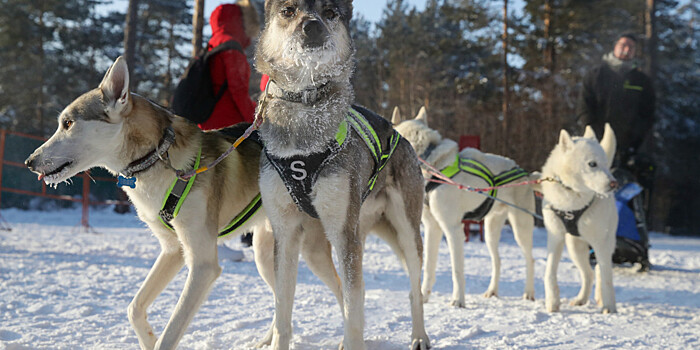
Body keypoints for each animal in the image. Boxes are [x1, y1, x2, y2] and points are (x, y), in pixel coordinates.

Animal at [26, 56, 344, 348]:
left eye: (67, 123)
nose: (30, 162)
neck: (158, 158)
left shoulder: (203, 266)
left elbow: (171, 331)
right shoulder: (173, 250)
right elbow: (134, 308)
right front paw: (147, 338)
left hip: (312, 250)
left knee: (343, 291)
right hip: (267, 256)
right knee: (282, 301)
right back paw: (268, 339)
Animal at [258, 1, 430, 348]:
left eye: (330, 12)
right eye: (288, 10)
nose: (311, 26)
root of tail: (399, 134)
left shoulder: (342, 233)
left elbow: (354, 307)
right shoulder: (285, 233)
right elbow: (283, 311)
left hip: (405, 231)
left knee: (412, 290)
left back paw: (419, 335)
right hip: (334, 240)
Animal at [394, 106, 536, 306]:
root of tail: (524, 174)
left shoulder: (452, 229)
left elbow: (457, 270)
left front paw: (458, 300)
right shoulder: (432, 227)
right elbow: (429, 267)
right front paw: (424, 296)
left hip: (521, 226)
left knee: (530, 259)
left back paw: (529, 293)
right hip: (491, 230)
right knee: (497, 261)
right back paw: (492, 291)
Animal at [536, 124, 616, 314]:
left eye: (605, 165)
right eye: (592, 164)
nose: (614, 183)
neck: (572, 201)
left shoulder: (601, 242)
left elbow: (607, 279)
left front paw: (610, 307)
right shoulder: (555, 237)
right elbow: (549, 272)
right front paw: (552, 303)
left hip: (605, 242)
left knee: (599, 271)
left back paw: (601, 300)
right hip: (574, 248)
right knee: (588, 274)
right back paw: (581, 299)